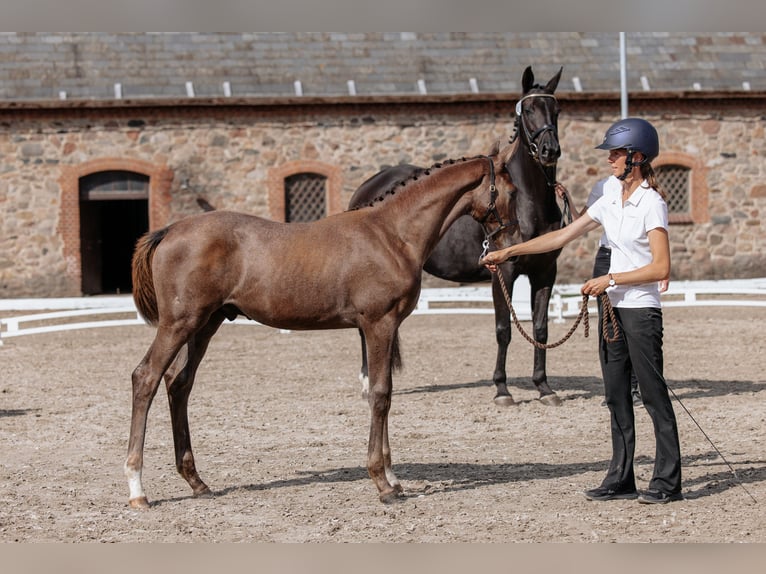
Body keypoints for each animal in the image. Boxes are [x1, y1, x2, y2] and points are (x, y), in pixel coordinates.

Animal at [126, 147, 520, 508]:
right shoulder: (378, 324)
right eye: (513, 192)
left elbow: (386, 393)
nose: (511, 246)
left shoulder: (384, 327)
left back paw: (196, 481)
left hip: (206, 325)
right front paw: (383, 483)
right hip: (179, 323)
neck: (391, 234)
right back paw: (137, 490)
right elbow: (380, 394)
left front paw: (393, 477)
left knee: (179, 383)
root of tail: (169, 230)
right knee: (145, 377)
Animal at [352, 66, 568, 410]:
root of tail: (369, 186)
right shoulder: (502, 271)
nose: (549, 150)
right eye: (528, 110)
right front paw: (502, 389)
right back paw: (365, 382)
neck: (528, 202)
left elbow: (541, 329)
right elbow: (503, 329)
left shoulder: (546, 272)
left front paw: (544, 387)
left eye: (556, 110)